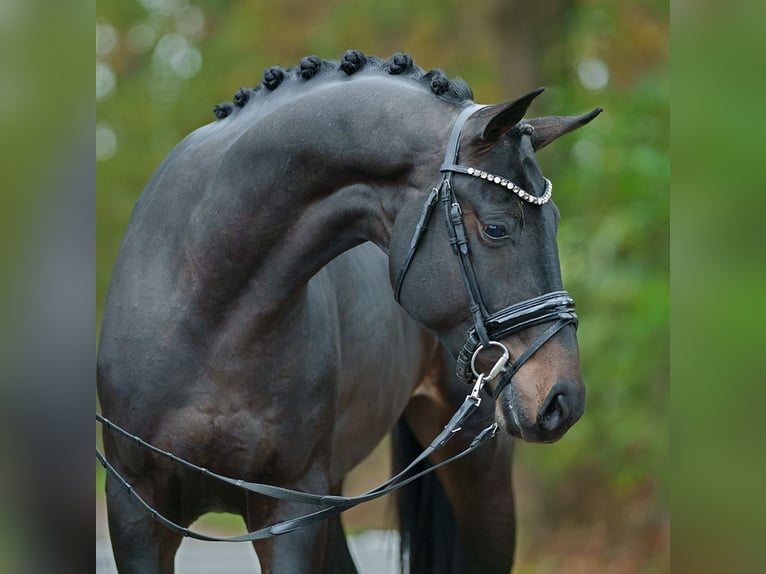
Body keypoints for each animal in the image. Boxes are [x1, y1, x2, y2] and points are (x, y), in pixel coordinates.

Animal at [97, 50, 600, 574]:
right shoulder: (136, 512)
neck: (207, 306)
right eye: (497, 228)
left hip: (479, 473)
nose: (563, 399)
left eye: (555, 221)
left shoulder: (290, 508)